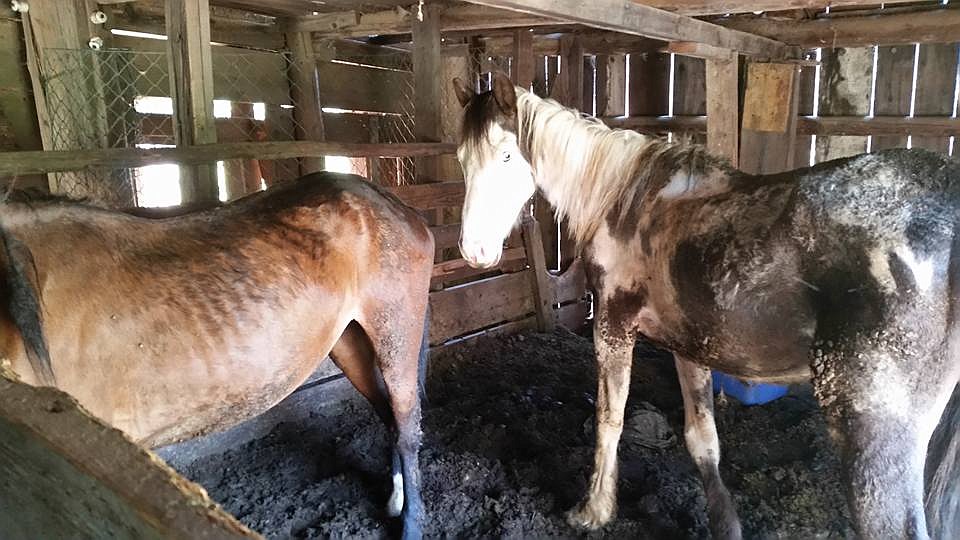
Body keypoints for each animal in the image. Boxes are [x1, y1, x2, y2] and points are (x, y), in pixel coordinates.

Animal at [0, 174, 432, 540]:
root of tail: (391, 203)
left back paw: (411, 525)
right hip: (347, 339)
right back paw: (395, 502)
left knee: (406, 425)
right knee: (387, 415)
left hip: (396, 330)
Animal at [452, 71, 960, 540]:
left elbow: (609, 419)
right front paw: (725, 524)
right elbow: (702, 439)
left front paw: (594, 510)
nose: (475, 251)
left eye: (506, 155)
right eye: (461, 159)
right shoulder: (690, 345)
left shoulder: (613, 325)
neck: (623, 199)